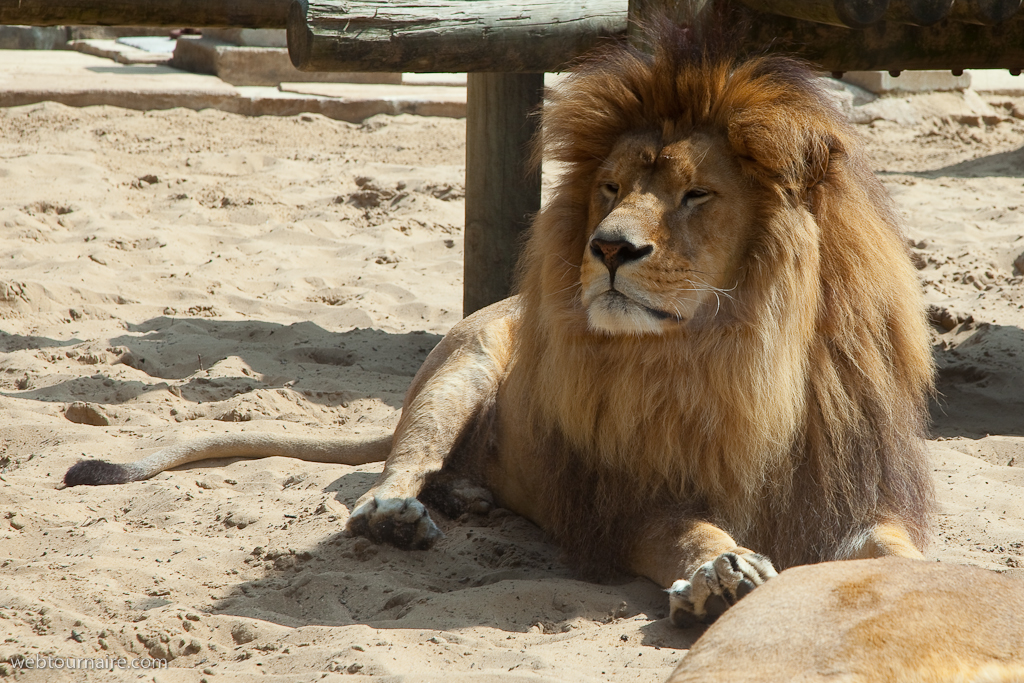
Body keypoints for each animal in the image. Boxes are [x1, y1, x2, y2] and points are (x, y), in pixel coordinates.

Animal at [64, 29, 935, 626]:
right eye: (610, 186)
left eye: (697, 195)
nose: (608, 246)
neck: (730, 355)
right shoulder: (626, 503)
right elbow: (691, 530)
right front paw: (721, 573)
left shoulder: (850, 496)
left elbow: (909, 557)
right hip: (465, 362)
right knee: (398, 465)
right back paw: (403, 515)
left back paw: (471, 495)